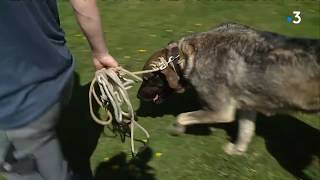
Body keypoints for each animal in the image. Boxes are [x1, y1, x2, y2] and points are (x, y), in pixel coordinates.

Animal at [138, 22, 320, 155]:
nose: (138, 96)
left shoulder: (220, 111)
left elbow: (181, 117)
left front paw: (177, 129)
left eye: (147, 79)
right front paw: (237, 150)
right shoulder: (247, 105)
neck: (186, 56)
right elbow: (246, 131)